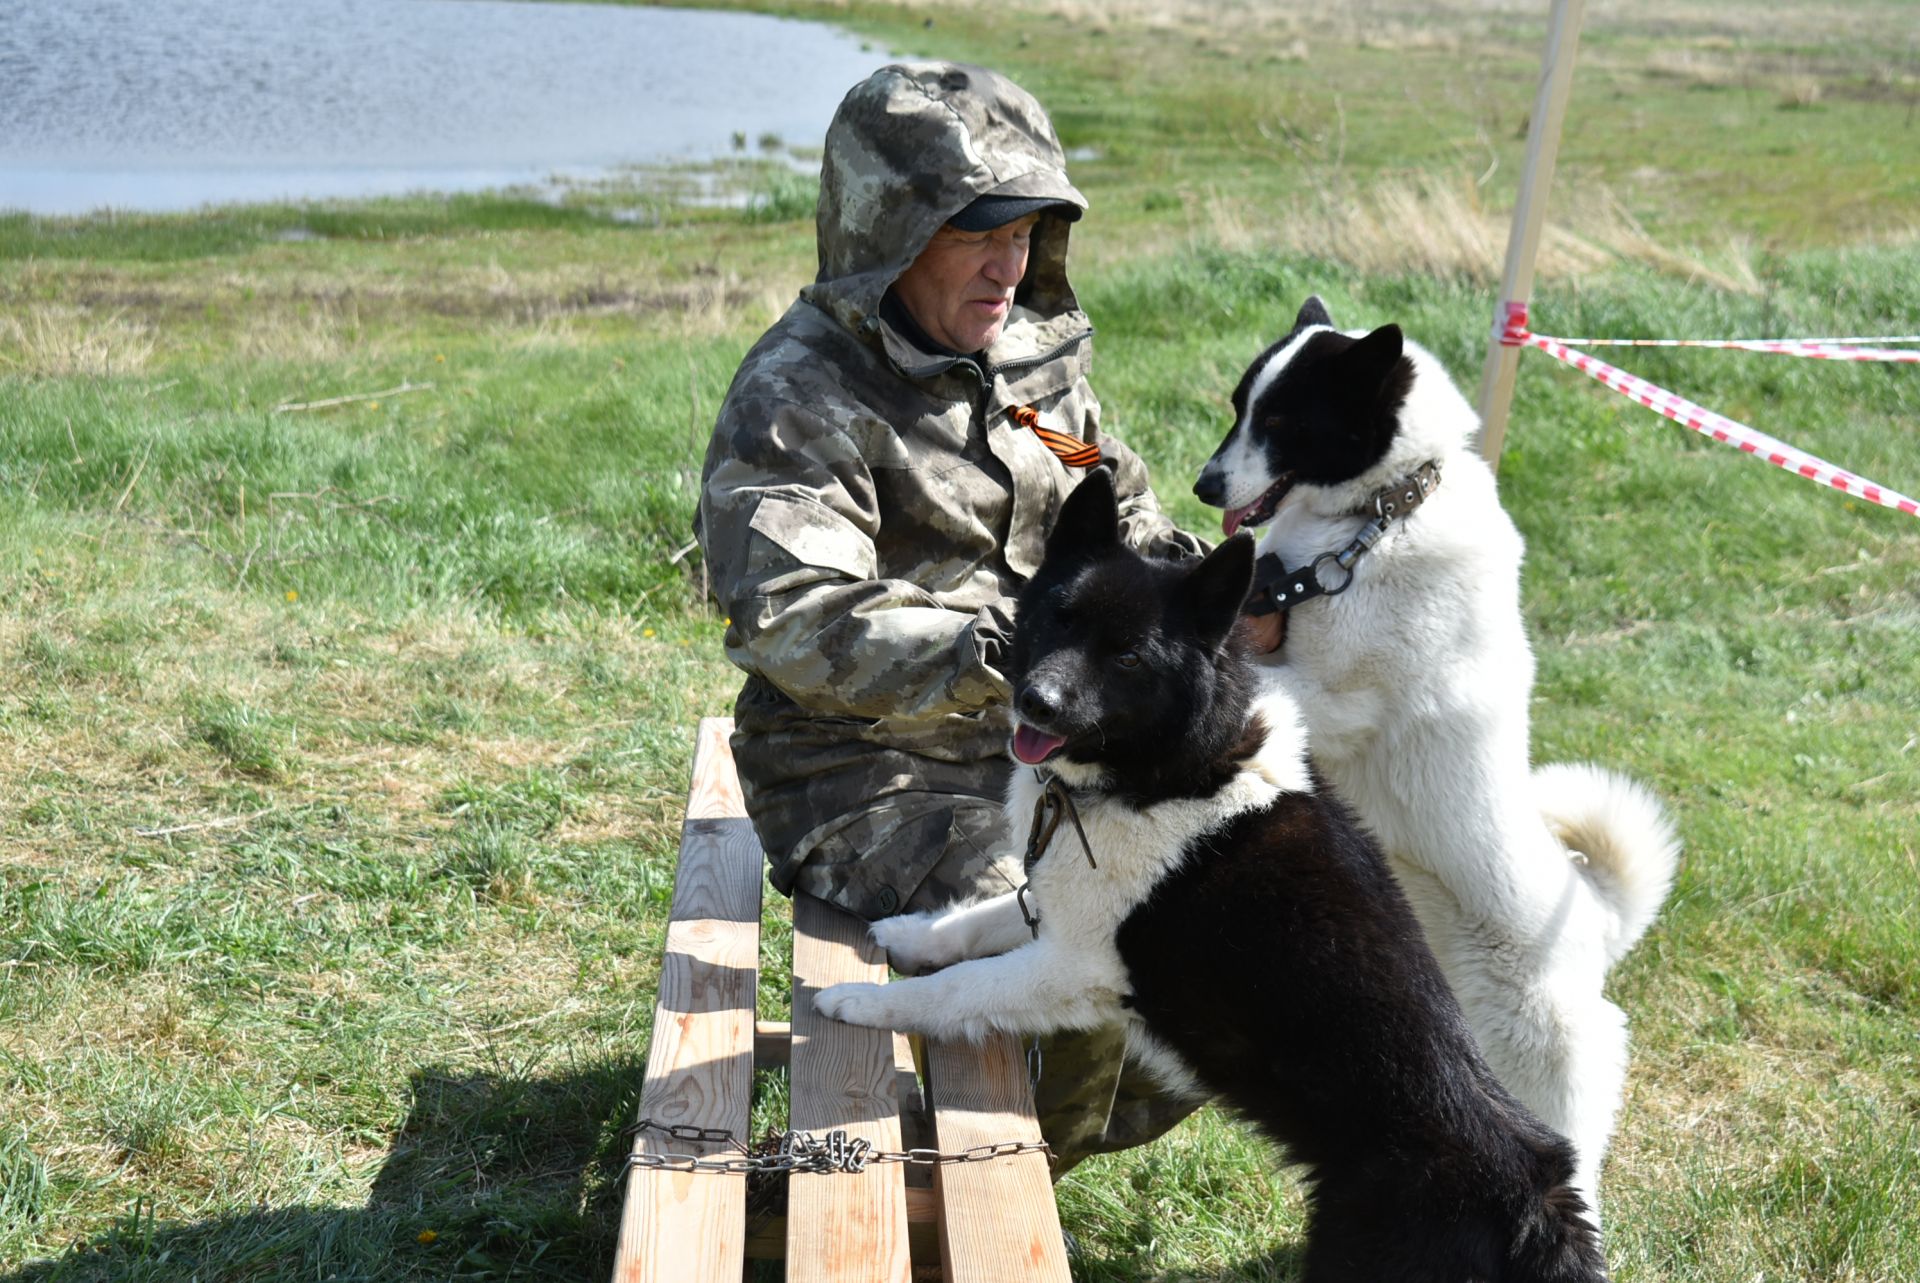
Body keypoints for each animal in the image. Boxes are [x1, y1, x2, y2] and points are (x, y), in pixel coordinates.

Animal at [817, 470, 1612, 1283]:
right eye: (1058, 619)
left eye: (1128, 658)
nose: (1036, 701)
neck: (1167, 773)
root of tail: (1537, 1201)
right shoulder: (1062, 907)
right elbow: (977, 920)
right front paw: (901, 934)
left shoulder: (1074, 965)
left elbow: (959, 988)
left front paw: (862, 1002)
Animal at [1182, 293, 1681, 1221]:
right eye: (1240, 407)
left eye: (1283, 421)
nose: (1201, 486)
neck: (1380, 516)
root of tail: (1595, 921)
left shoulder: (1335, 700)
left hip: (1540, 1066)